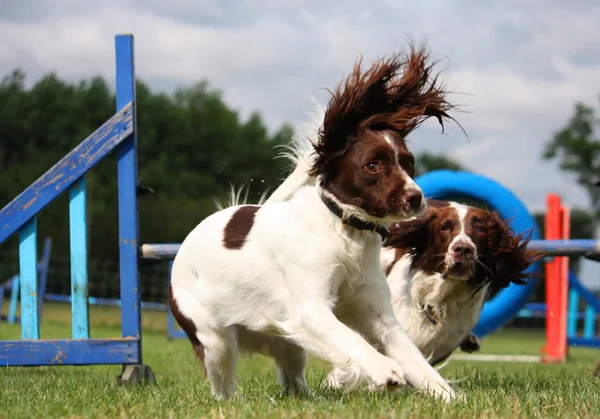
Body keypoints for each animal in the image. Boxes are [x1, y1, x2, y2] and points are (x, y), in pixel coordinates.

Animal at [169, 45, 460, 400]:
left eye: (409, 163)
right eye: (373, 166)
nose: (416, 198)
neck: (345, 231)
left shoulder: (379, 315)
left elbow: (418, 363)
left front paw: (449, 397)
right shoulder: (310, 311)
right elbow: (353, 341)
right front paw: (384, 370)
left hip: (289, 347)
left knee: (294, 384)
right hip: (216, 341)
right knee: (222, 386)